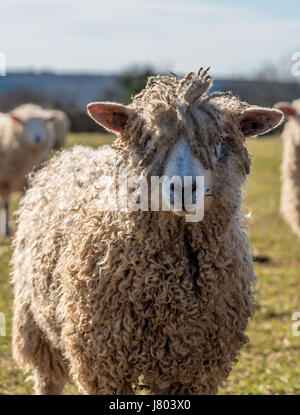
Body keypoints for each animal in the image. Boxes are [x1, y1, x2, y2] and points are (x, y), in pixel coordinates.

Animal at [0, 106, 55, 237]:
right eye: (25, 124)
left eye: (44, 123)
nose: (37, 138)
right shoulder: (5, 181)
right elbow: (5, 205)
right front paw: (5, 230)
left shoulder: (28, 182)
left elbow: (24, 203)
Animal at [11, 69, 284, 396]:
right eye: (151, 140)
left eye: (218, 141)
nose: (183, 189)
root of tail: (77, 152)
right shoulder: (102, 362)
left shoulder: (195, 369)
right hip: (33, 320)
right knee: (47, 378)